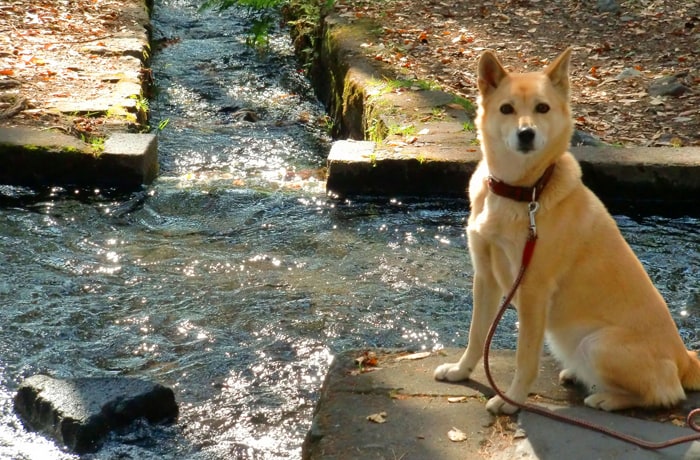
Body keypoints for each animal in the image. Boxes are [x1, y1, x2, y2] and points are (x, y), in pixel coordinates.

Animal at [432, 46, 700, 414]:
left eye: (542, 108)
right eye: (506, 109)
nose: (526, 133)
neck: (524, 191)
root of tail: (685, 358)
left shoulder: (532, 290)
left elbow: (525, 357)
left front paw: (512, 400)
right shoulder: (484, 277)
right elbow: (476, 335)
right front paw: (461, 371)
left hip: (596, 343)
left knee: (665, 393)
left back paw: (606, 398)